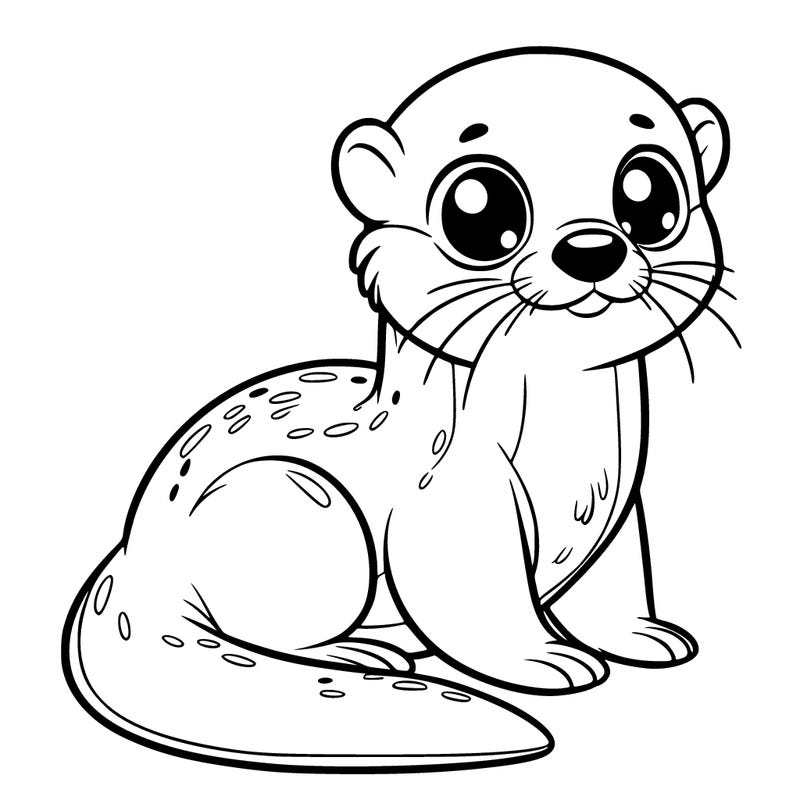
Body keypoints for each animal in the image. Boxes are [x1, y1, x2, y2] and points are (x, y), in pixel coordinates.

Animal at [62, 48, 731, 772]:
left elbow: (613, 583)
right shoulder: (453, 501)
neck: (573, 450)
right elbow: (478, 599)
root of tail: (132, 559)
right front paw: (543, 658)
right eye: (478, 208)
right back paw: (361, 651)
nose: (591, 250)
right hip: (292, 502)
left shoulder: (620, 508)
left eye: (650, 195)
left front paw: (640, 635)